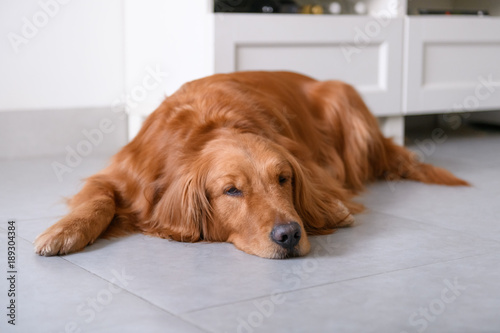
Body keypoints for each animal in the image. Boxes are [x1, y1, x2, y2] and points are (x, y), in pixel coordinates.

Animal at [34, 71, 468, 258]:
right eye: (232, 190)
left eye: (284, 179)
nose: (289, 235)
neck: (209, 127)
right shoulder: (123, 174)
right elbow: (99, 199)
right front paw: (64, 232)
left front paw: (334, 212)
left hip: (342, 96)